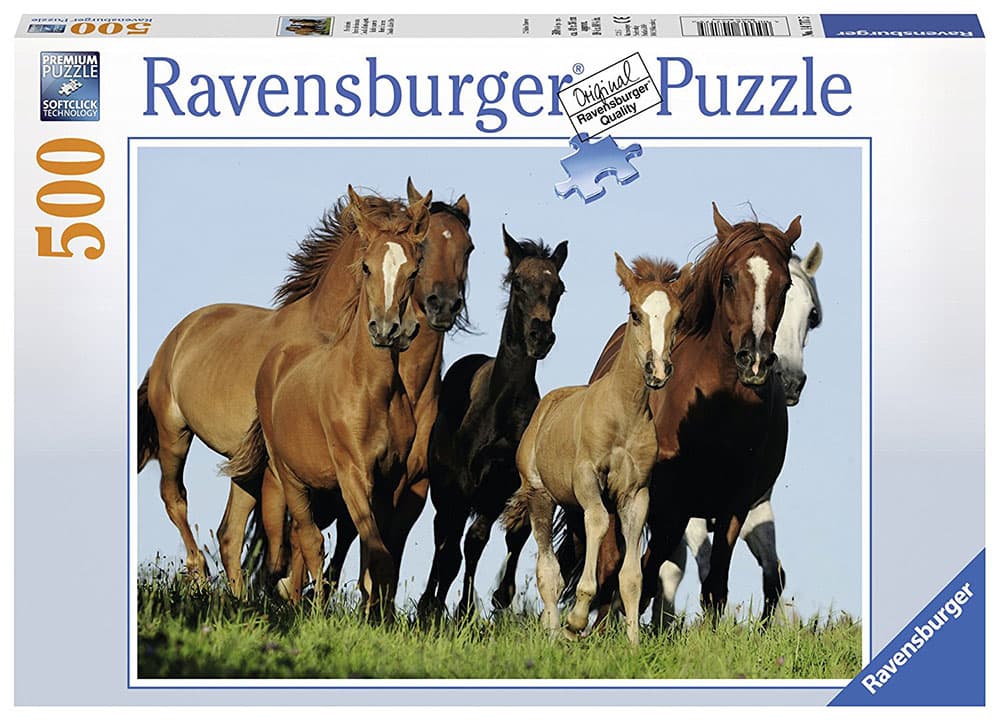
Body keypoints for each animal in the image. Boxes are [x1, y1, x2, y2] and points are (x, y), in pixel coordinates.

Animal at [223, 186, 431, 620]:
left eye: (413, 271)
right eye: (366, 267)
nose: (386, 330)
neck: (371, 388)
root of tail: (275, 358)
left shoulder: (390, 480)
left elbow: (379, 556)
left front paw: (377, 616)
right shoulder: (353, 472)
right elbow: (372, 551)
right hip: (290, 476)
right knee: (307, 539)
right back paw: (310, 605)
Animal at [417, 226, 568, 619]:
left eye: (559, 288)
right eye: (518, 283)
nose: (540, 337)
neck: (500, 408)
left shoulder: (501, 484)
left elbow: (479, 540)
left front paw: (469, 608)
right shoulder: (460, 486)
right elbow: (453, 550)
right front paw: (444, 608)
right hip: (445, 491)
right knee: (442, 537)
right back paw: (428, 602)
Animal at [504, 255, 690, 645]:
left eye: (678, 317)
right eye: (635, 313)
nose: (658, 370)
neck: (623, 412)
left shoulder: (636, 493)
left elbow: (631, 576)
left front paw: (633, 644)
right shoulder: (588, 479)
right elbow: (600, 522)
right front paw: (577, 620)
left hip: (569, 507)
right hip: (540, 494)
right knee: (547, 568)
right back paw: (556, 631)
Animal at [559, 203, 800, 628]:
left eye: (785, 285)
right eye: (728, 279)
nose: (754, 359)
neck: (718, 412)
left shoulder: (734, 504)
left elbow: (714, 584)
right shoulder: (666, 503)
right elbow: (635, 569)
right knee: (614, 560)